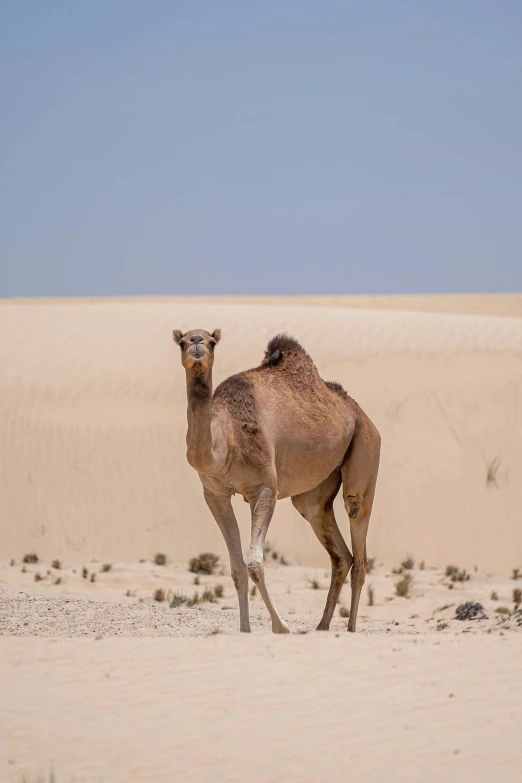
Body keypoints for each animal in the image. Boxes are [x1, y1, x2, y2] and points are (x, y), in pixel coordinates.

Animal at [173, 328, 380, 632]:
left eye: (212, 342)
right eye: (182, 342)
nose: (197, 343)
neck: (226, 441)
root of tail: (362, 414)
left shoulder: (264, 488)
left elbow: (255, 564)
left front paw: (281, 627)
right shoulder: (215, 494)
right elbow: (237, 568)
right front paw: (245, 629)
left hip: (366, 446)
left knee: (358, 530)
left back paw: (351, 629)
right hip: (313, 495)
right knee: (340, 552)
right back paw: (322, 626)